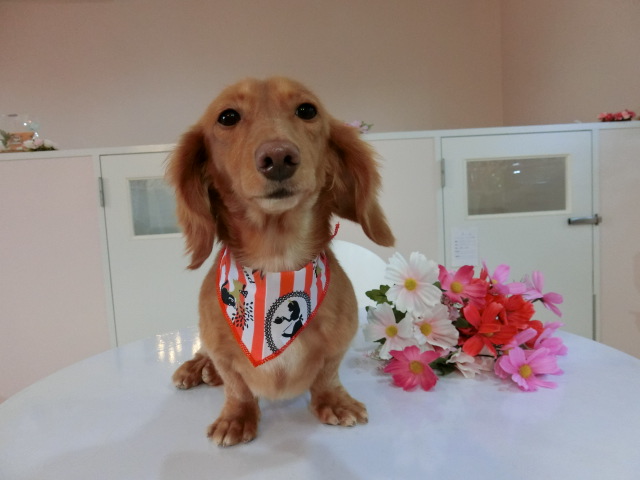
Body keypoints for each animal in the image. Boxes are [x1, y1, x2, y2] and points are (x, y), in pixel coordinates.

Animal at [167, 77, 394, 446]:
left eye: (307, 110)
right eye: (227, 117)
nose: (278, 157)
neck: (278, 263)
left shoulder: (339, 342)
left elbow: (327, 373)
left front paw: (334, 401)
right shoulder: (221, 348)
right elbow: (236, 384)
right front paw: (236, 417)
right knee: (204, 356)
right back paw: (196, 368)